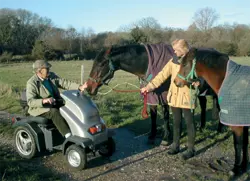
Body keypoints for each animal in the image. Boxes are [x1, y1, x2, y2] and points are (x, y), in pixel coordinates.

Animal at [86, 44, 221, 145]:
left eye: (101, 63)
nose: (88, 88)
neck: (146, 63)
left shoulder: (165, 95)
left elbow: (165, 115)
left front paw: (166, 137)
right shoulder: (151, 94)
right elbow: (153, 115)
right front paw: (152, 135)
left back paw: (219, 128)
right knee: (203, 105)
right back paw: (202, 127)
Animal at [175, 47, 249, 176]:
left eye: (184, 64)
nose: (176, 81)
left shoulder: (237, 124)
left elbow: (237, 145)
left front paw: (235, 169)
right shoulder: (243, 122)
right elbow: (244, 143)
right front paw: (243, 166)